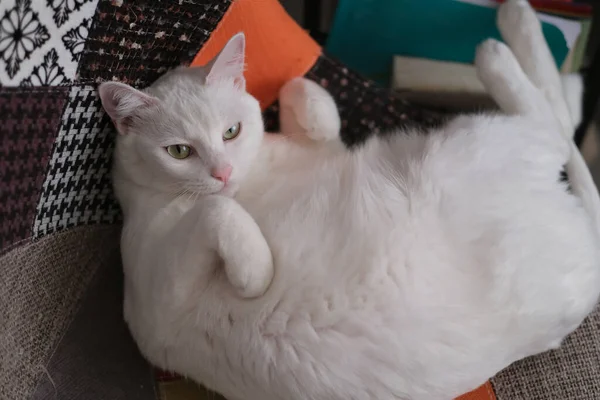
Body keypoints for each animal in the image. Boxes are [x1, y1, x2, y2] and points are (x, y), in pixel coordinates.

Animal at [99, 1, 600, 398]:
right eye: (179, 152)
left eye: (231, 131)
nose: (222, 172)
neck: (254, 177)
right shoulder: (160, 299)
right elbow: (218, 210)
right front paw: (256, 273)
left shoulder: (322, 153)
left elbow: (316, 112)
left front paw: (297, 88)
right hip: (480, 139)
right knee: (549, 124)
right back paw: (507, 44)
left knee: (559, 127)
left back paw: (546, 62)